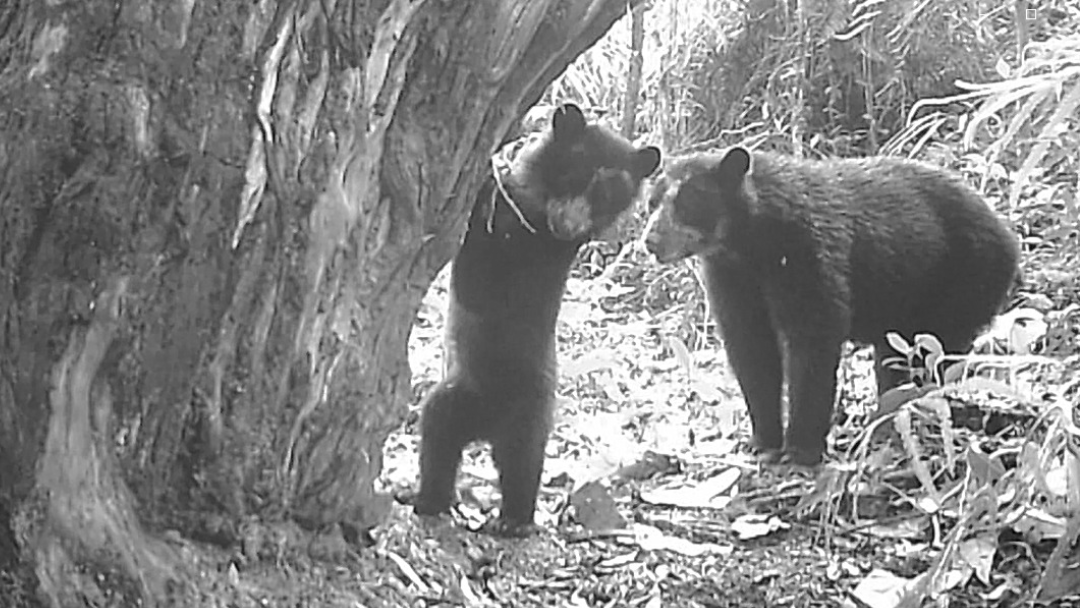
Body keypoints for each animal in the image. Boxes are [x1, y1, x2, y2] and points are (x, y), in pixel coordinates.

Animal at [414, 103, 662, 536]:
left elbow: (482, 270)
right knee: (441, 438)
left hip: (526, 409)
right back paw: (437, 501)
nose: (570, 225)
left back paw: (510, 519)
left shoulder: (528, 256)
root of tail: (488, 425)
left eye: (608, 194)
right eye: (573, 172)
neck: (540, 218)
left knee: (519, 461)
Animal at [643, 147, 1019, 466]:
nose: (650, 240)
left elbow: (813, 339)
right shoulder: (732, 279)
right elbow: (751, 349)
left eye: (690, 200)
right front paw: (763, 441)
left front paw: (801, 448)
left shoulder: (805, 252)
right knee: (894, 362)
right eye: (652, 202)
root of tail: (1008, 235)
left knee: (935, 355)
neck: (748, 243)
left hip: (964, 278)